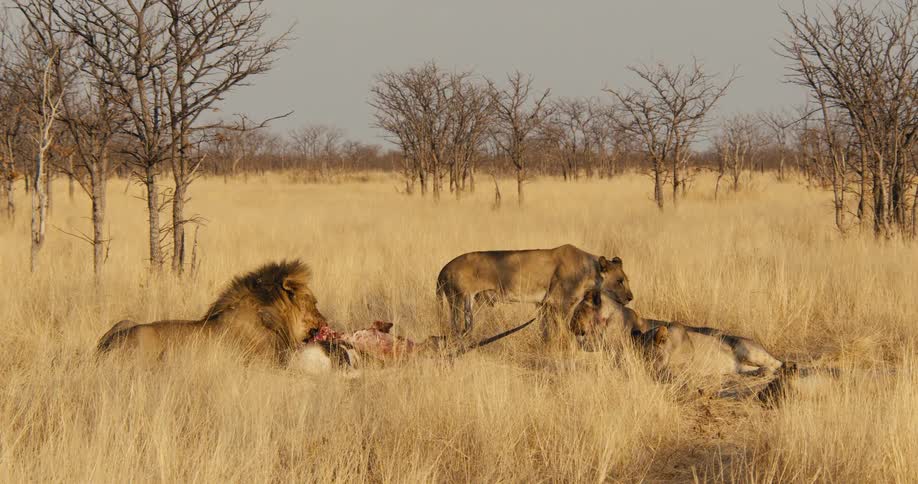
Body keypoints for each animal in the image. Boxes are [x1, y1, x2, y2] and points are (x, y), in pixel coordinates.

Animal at [435, 244, 633, 341]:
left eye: (626, 280)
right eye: (619, 281)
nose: (631, 297)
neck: (590, 272)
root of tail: (443, 269)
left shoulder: (543, 304)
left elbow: (545, 329)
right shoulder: (561, 303)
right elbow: (562, 330)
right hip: (461, 300)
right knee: (458, 328)